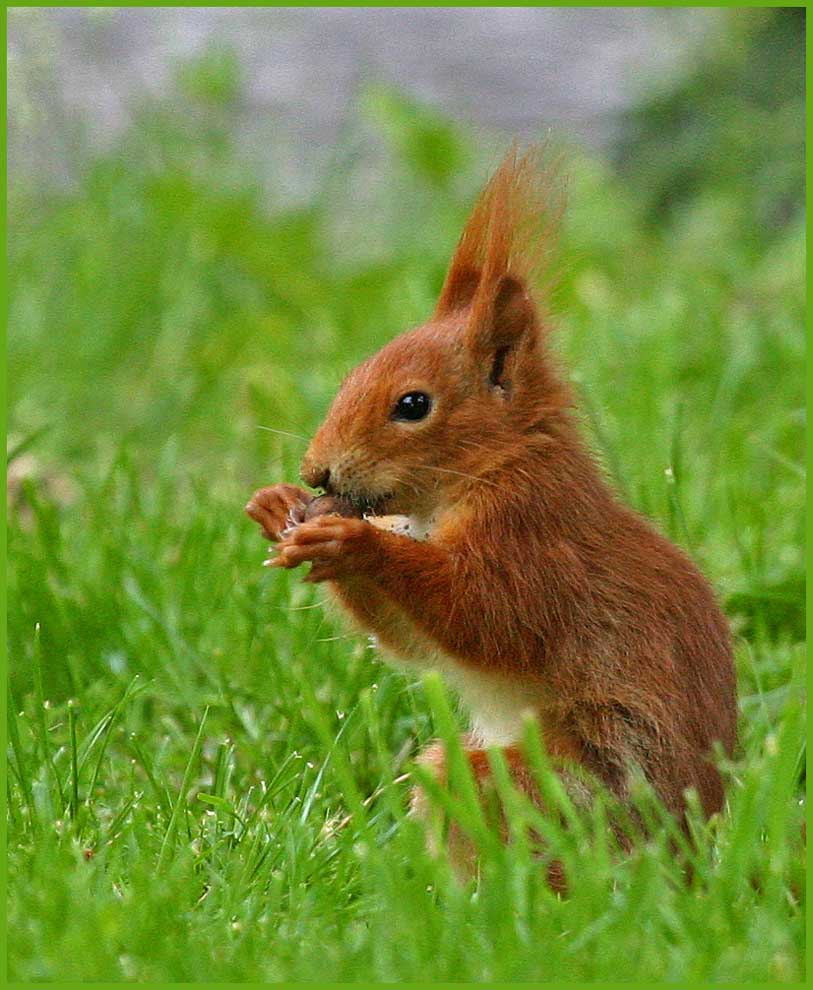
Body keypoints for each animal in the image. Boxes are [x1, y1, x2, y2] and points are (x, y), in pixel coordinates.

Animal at [246, 145, 736, 860]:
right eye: (351, 377)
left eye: (413, 404)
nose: (317, 470)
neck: (488, 470)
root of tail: (690, 856)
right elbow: (413, 642)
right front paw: (276, 504)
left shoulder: (534, 537)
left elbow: (485, 614)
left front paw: (353, 543)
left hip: (566, 798)